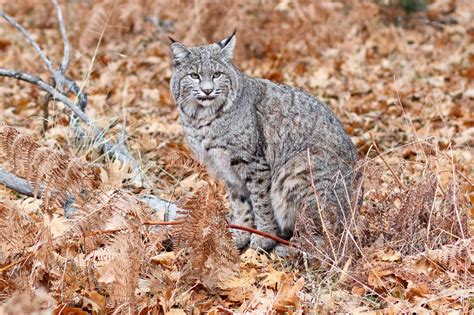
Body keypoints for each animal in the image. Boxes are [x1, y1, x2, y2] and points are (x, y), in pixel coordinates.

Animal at [170, 32, 360, 252]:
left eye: (217, 74)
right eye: (194, 76)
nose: (208, 91)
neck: (201, 117)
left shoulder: (252, 161)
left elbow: (261, 201)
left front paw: (263, 238)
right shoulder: (228, 168)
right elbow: (240, 203)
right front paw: (240, 236)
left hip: (296, 168)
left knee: (328, 235)